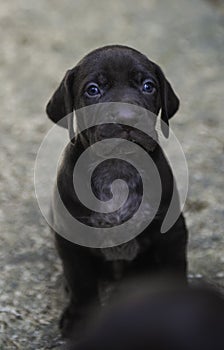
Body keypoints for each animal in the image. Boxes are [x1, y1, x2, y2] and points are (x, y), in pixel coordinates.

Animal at [46, 45, 188, 338]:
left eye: (148, 86)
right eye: (93, 90)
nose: (127, 118)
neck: (116, 166)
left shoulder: (172, 232)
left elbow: (176, 268)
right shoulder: (71, 239)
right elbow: (81, 282)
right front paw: (79, 318)